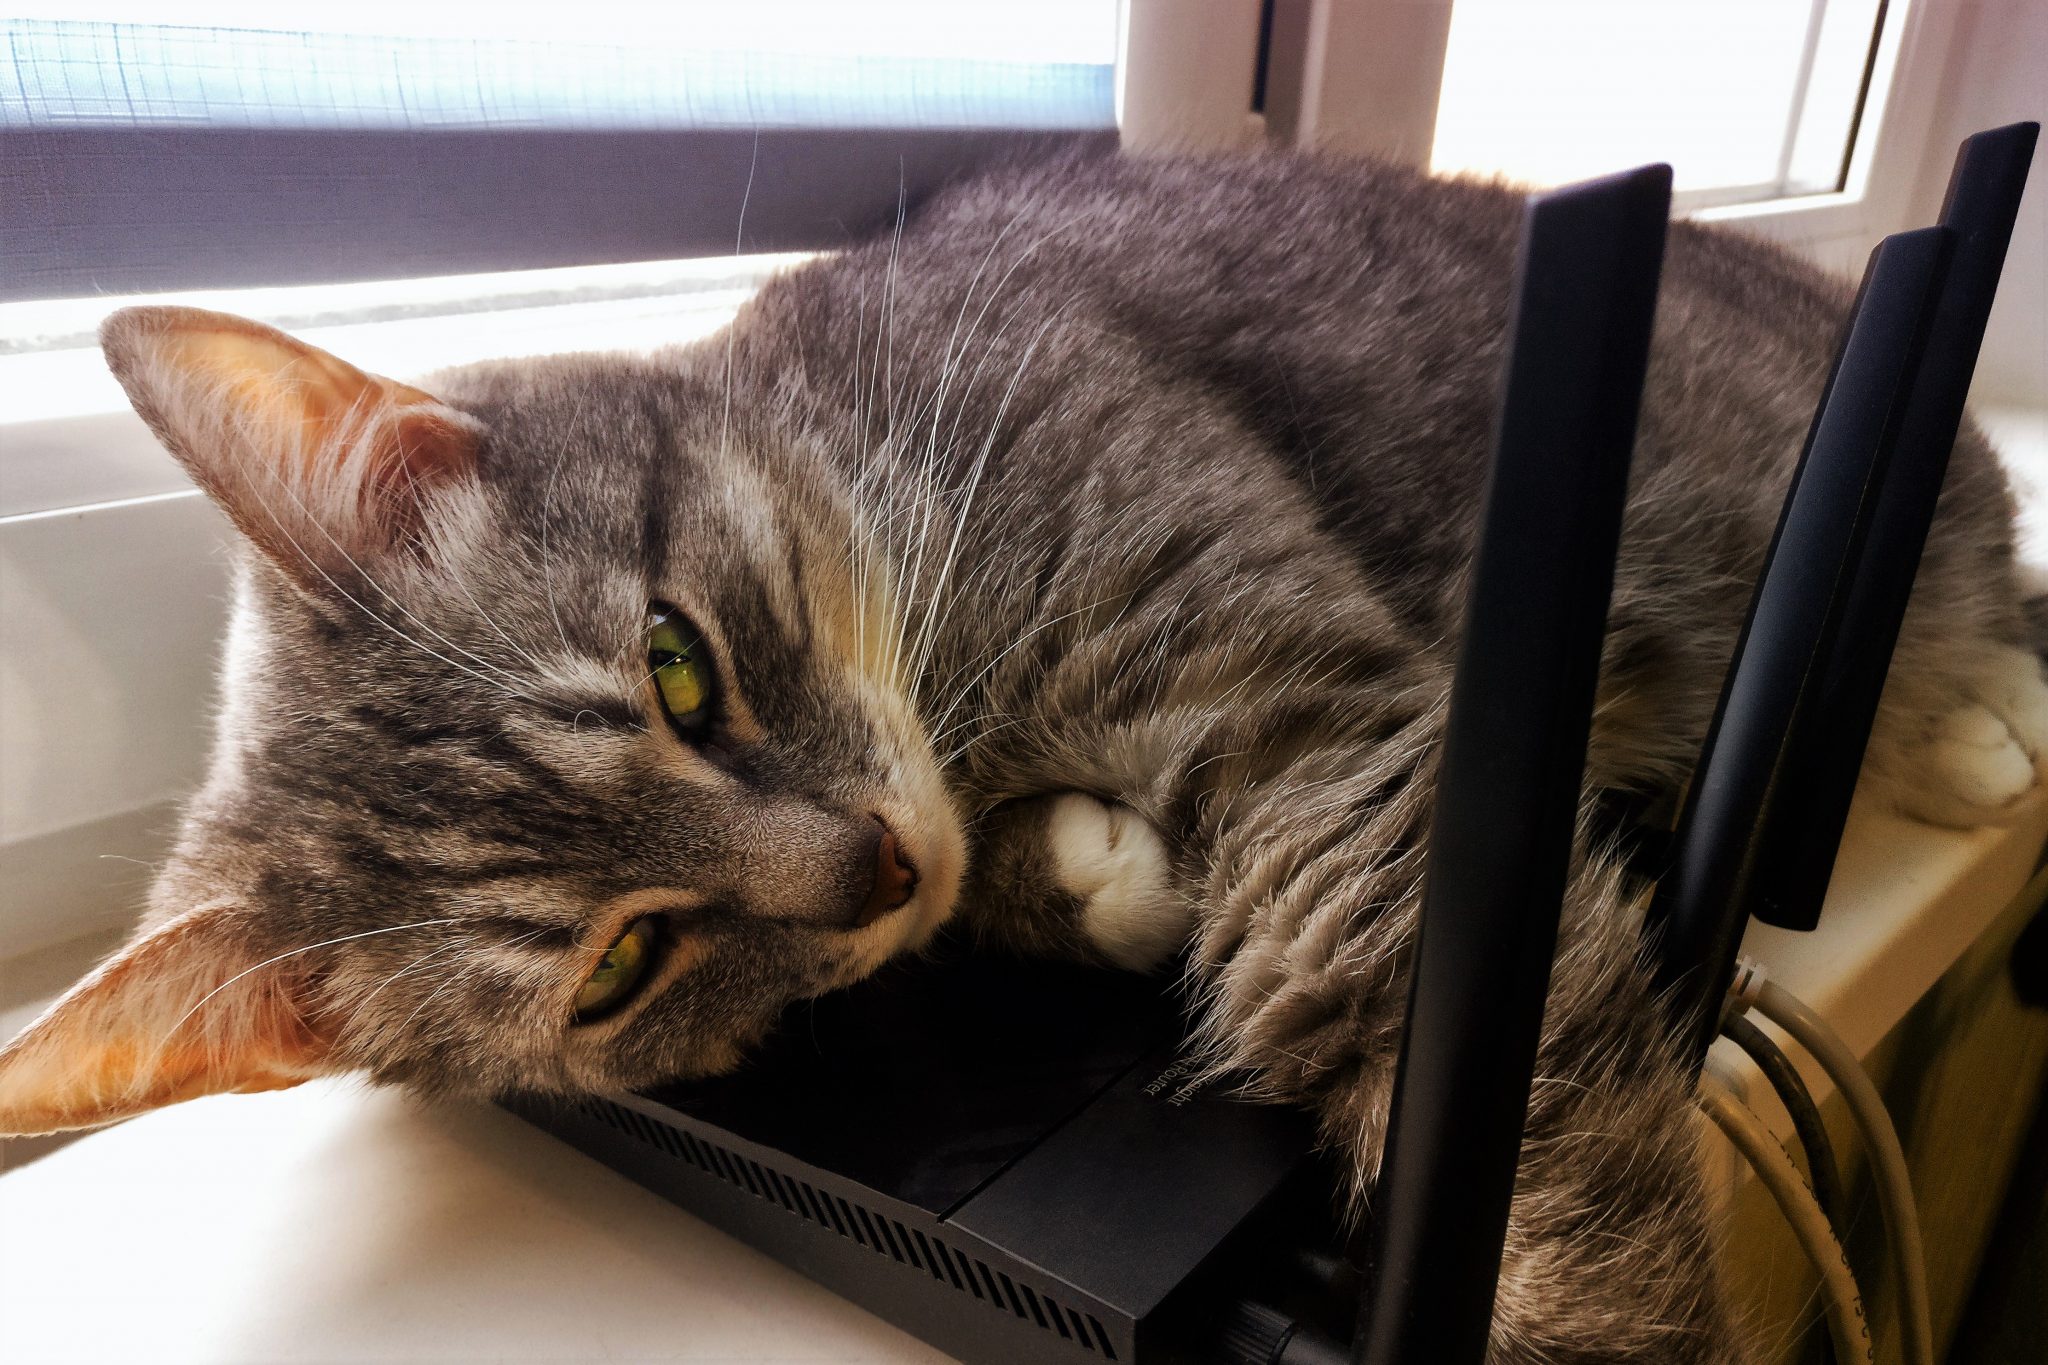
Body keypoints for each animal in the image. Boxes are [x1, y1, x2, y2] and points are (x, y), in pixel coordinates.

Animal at [4, 149, 2048, 1365]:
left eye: (675, 662)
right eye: (622, 966)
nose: (878, 866)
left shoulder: (1309, 735)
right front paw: (1064, 878)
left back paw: (1985, 715)